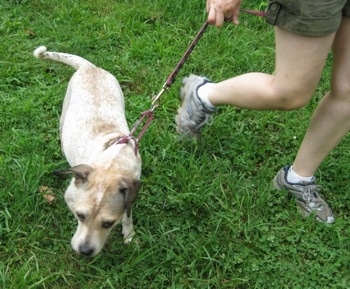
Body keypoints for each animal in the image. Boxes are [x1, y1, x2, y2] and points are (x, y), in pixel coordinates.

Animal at [34, 46, 141, 255]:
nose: (84, 251)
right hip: (66, 107)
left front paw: (129, 235)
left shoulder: (131, 193)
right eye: (80, 215)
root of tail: (90, 67)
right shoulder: (70, 196)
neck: (114, 163)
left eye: (108, 223)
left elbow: (128, 215)